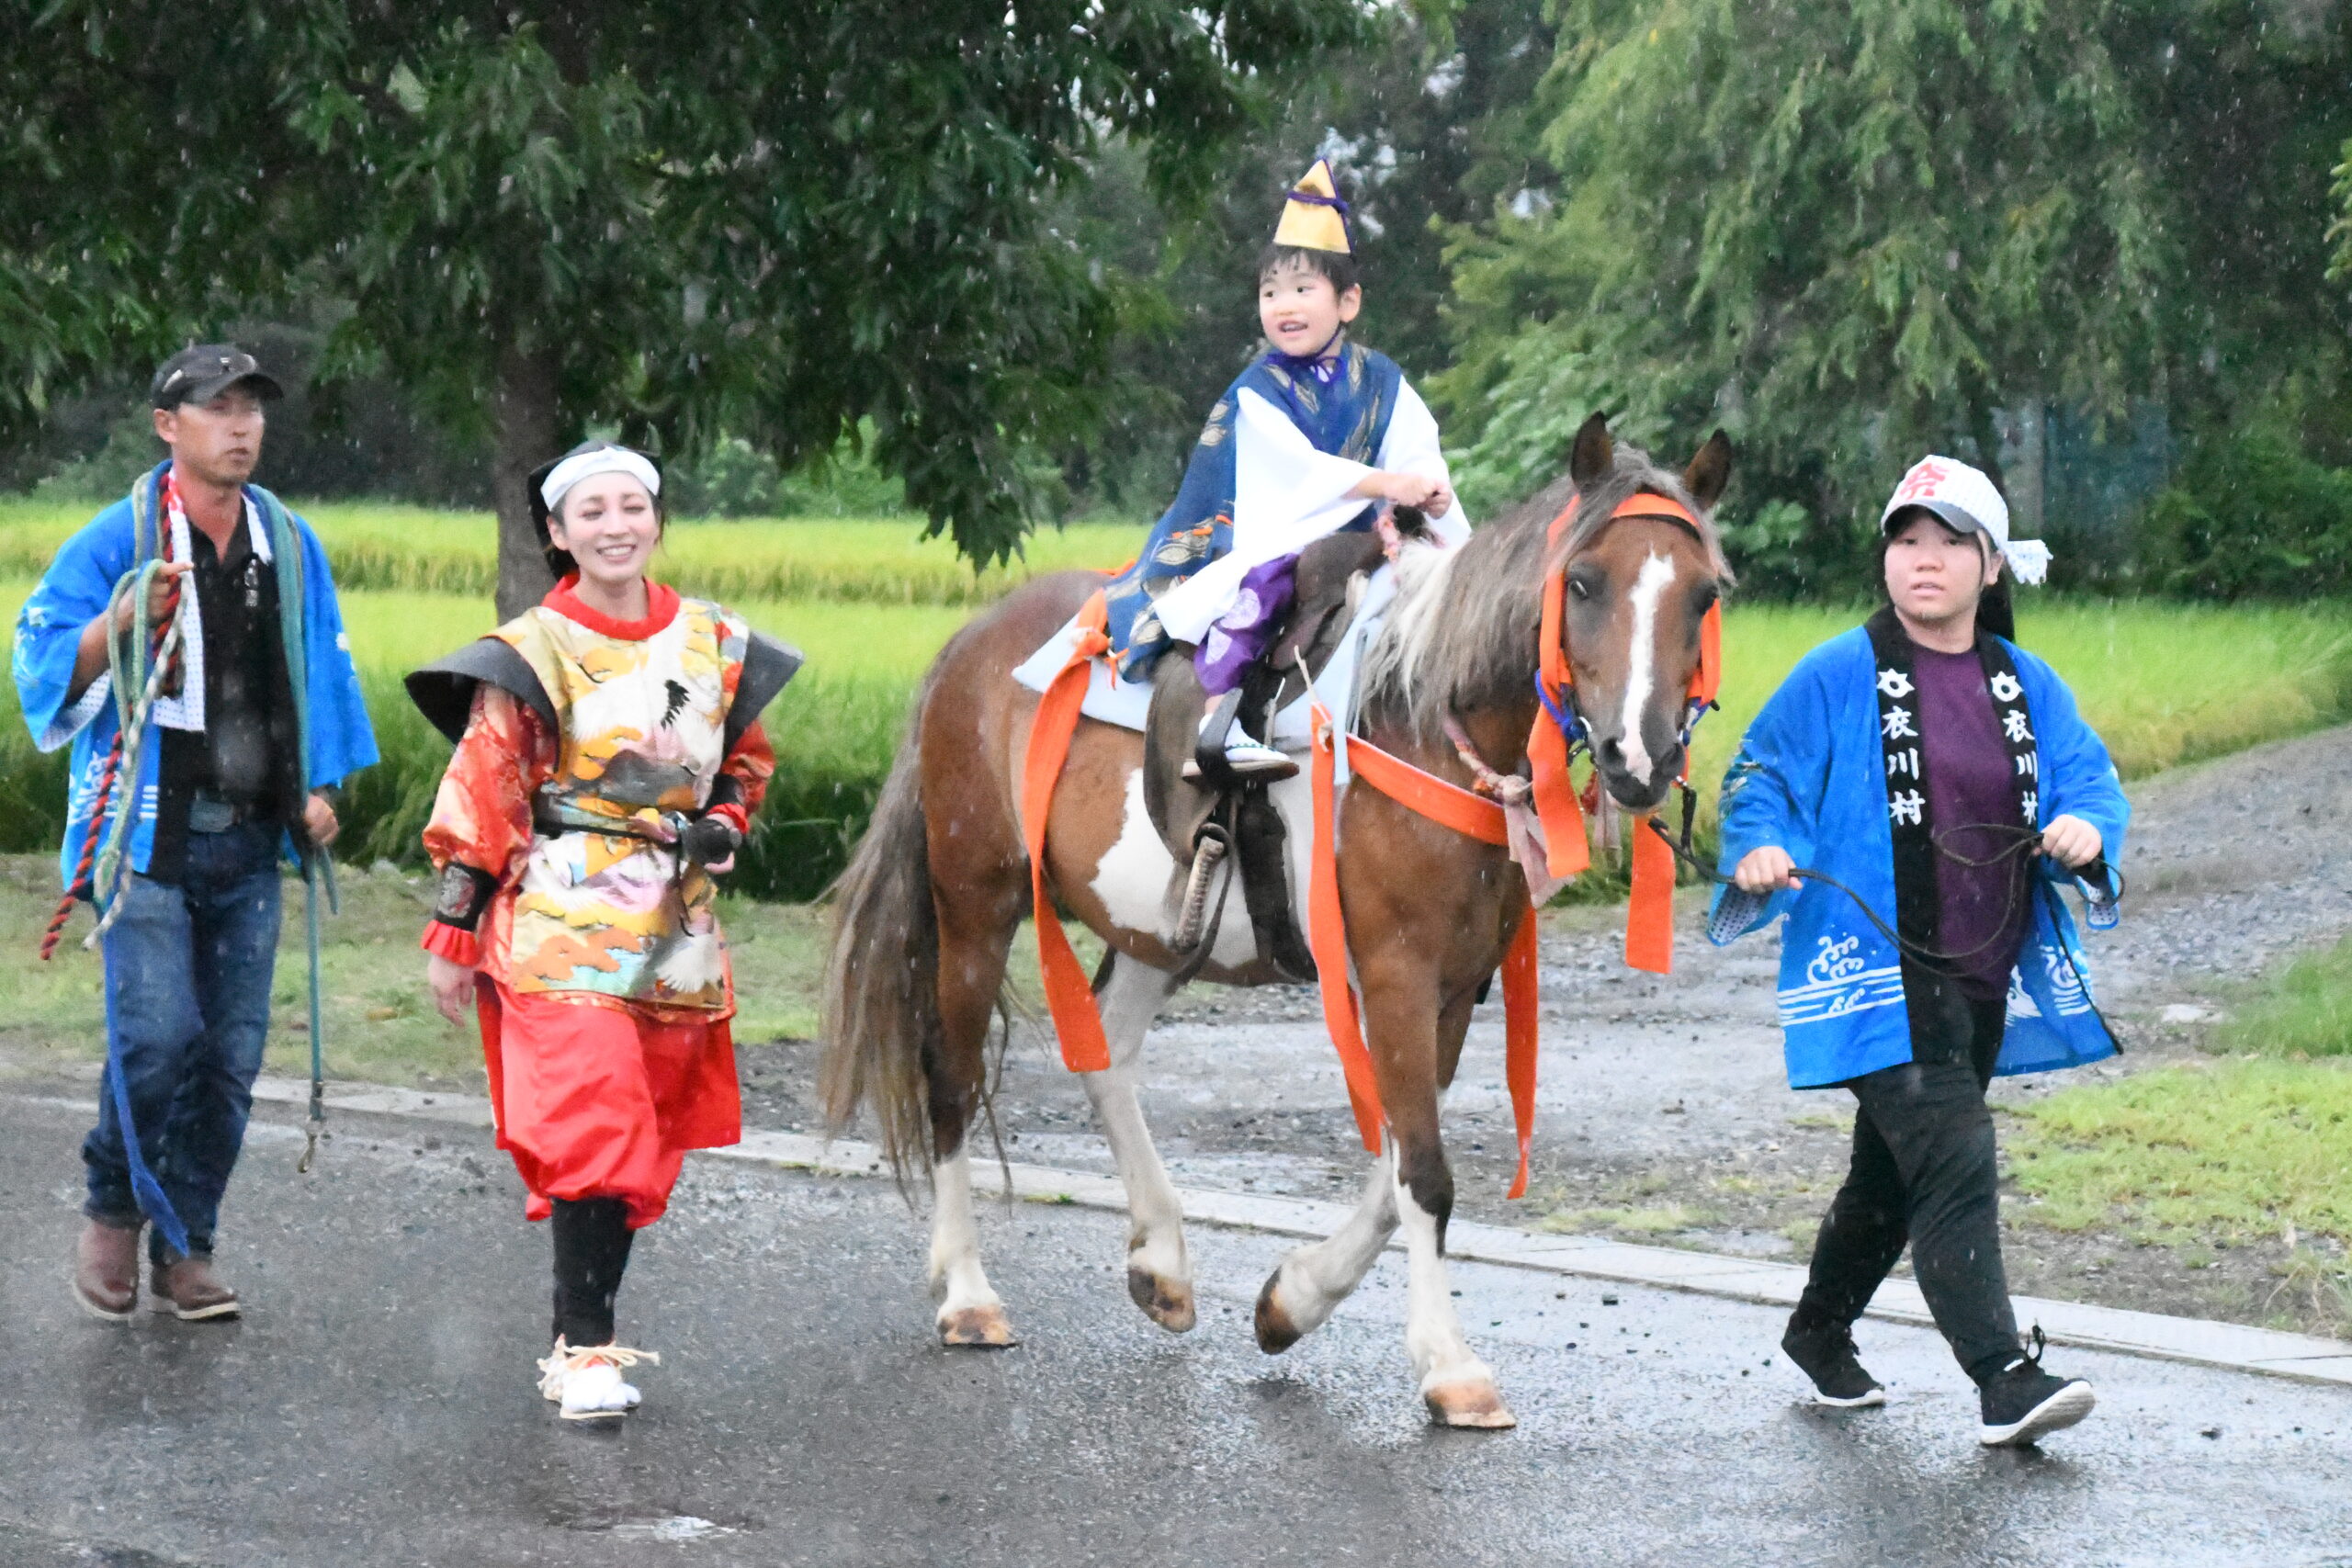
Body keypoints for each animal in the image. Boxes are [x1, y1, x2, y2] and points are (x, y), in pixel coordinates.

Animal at [823, 411, 1731, 1429]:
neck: (1422, 723)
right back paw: (969, 1292)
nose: (1638, 757)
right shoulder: (1397, 970)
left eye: (1703, 594)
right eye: (1582, 583)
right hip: (976, 893)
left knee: (1106, 1053)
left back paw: (1161, 1259)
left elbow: (1393, 1172)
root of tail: (969, 643)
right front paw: (1450, 1365)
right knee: (950, 1071)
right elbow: (1424, 1173)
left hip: (1157, 925)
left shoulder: (1457, 983)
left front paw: (1291, 1301)